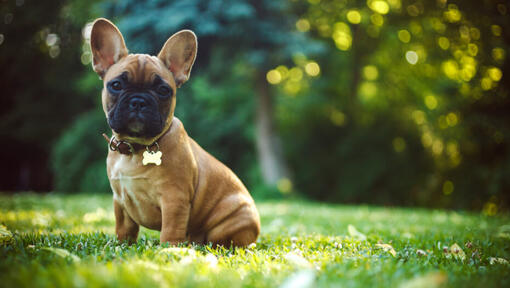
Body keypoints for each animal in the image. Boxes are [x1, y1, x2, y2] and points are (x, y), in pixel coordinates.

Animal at [88, 18, 258, 246]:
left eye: (163, 90)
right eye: (116, 85)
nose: (138, 101)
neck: (136, 148)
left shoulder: (174, 199)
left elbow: (170, 228)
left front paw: (170, 249)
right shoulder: (120, 201)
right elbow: (124, 228)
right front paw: (122, 245)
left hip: (231, 222)